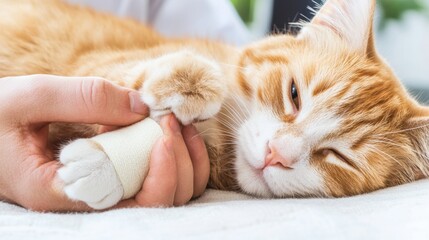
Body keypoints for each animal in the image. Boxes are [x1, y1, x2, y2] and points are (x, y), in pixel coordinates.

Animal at [0, 0, 428, 209]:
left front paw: (103, 165)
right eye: (293, 94)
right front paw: (194, 81)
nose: (275, 153)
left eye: (338, 157)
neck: (220, 138)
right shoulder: (93, 61)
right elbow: (131, 71)